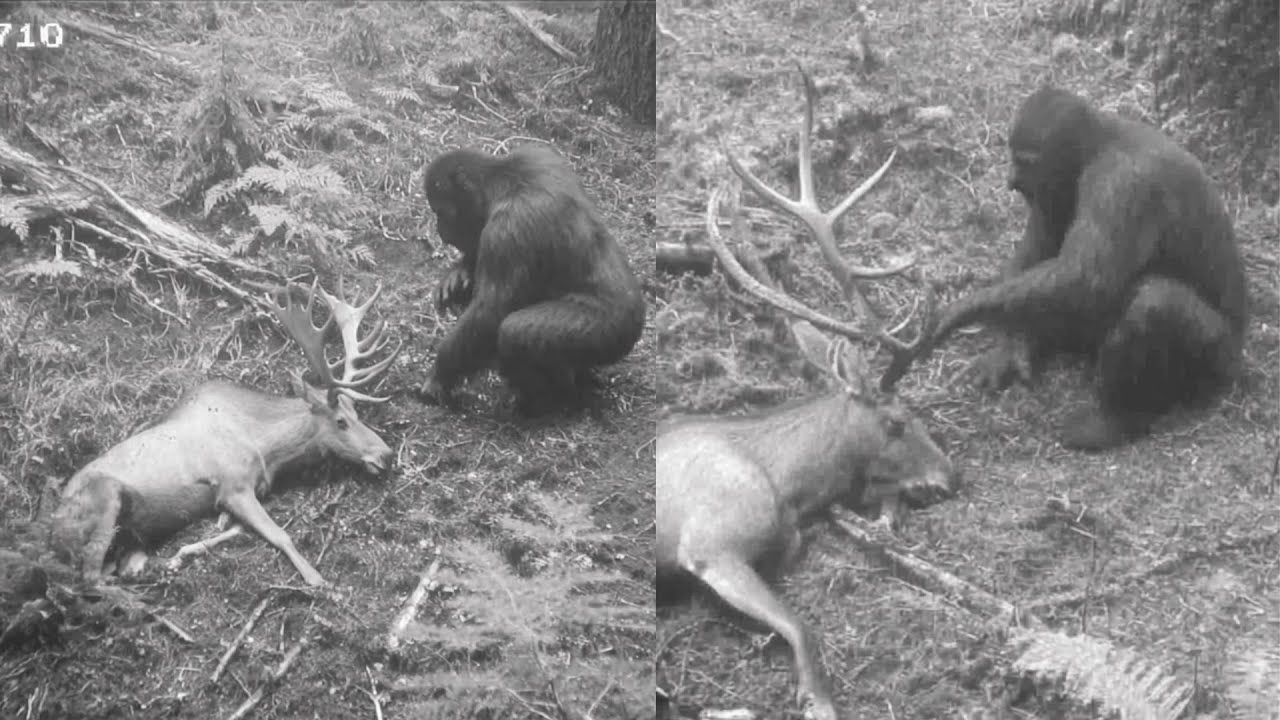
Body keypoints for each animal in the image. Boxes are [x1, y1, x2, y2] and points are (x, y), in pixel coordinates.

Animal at [48, 278, 400, 589]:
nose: (386, 453)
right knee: (90, 575)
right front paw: (316, 578)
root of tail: (52, 526)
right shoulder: (234, 486)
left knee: (119, 564)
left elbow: (237, 530)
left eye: (357, 413)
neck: (266, 447)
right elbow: (280, 534)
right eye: (341, 421)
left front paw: (194, 546)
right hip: (105, 497)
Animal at [657, 68, 960, 720]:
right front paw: (818, 698)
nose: (951, 476)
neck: (789, 484)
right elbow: (801, 625)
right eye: (898, 420)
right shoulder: (712, 543)